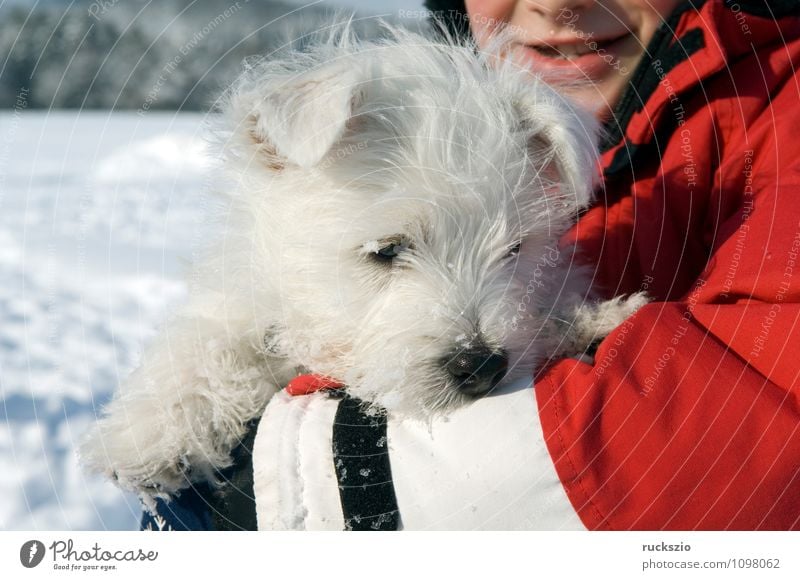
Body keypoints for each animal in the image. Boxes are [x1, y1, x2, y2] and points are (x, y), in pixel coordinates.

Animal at [79, 23, 644, 502]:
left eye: (513, 250)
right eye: (386, 250)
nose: (480, 366)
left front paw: (592, 321)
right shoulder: (246, 297)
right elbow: (208, 340)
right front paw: (148, 436)